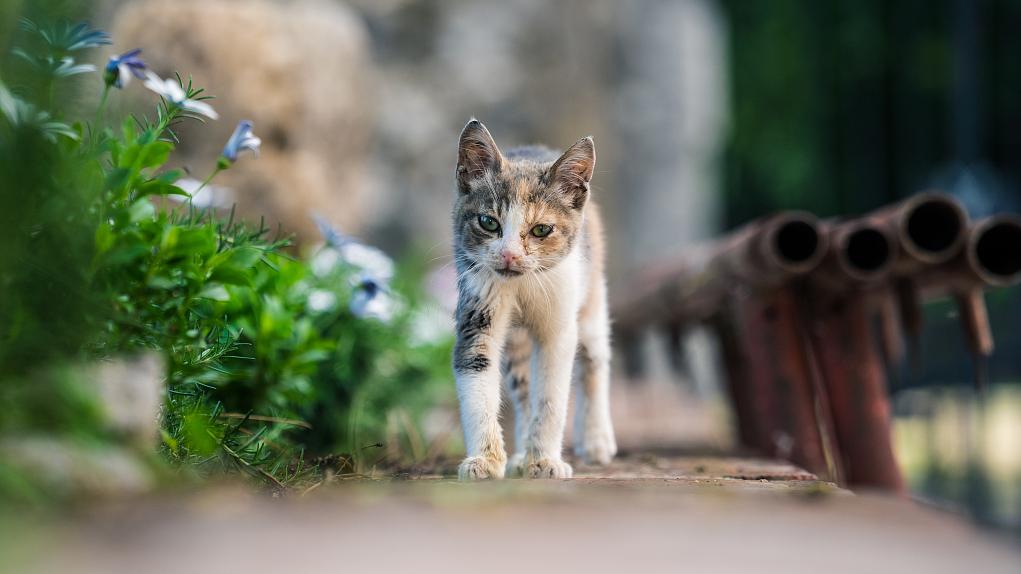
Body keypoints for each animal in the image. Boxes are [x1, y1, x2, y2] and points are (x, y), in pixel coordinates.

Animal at [453, 118, 612, 475]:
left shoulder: (560, 323)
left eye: (541, 229)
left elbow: (551, 394)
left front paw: (544, 460)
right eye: (488, 222)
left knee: (594, 360)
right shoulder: (477, 307)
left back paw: (596, 441)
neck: (522, 285)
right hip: (516, 343)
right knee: (524, 385)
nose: (509, 255)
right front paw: (486, 460)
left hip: (591, 291)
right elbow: (477, 372)